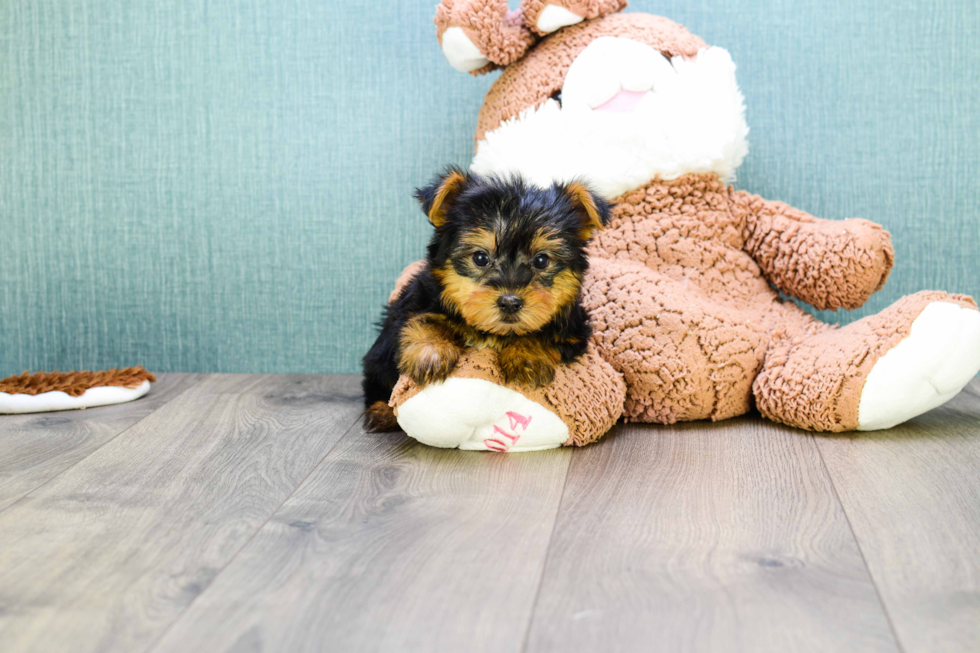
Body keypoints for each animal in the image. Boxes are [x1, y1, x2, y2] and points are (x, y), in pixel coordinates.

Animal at [362, 168, 604, 430]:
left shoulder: (573, 329)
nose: (510, 302)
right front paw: (430, 352)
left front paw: (527, 356)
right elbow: (425, 318)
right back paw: (381, 411)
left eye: (541, 260)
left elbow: (542, 332)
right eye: (480, 258)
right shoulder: (420, 298)